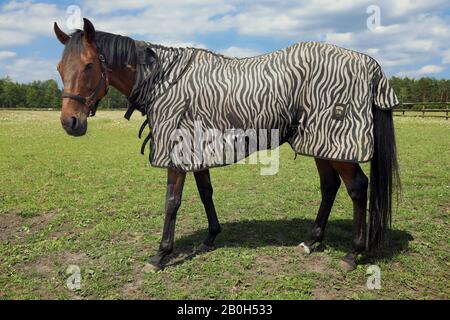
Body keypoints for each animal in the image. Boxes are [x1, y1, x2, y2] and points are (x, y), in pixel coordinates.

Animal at [54, 18, 400, 272]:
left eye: (88, 66)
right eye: (59, 68)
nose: (70, 122)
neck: (163, 81)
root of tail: (369, 63)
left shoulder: (177, 153)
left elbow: (172, 202)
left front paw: (161, 255)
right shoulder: (196, 151)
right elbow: (206, 192)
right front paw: (211, 237)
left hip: (337, 145)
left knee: (357, 188)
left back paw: (352, 254)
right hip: (320, 144)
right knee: (329, 187)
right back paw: (311, 241)